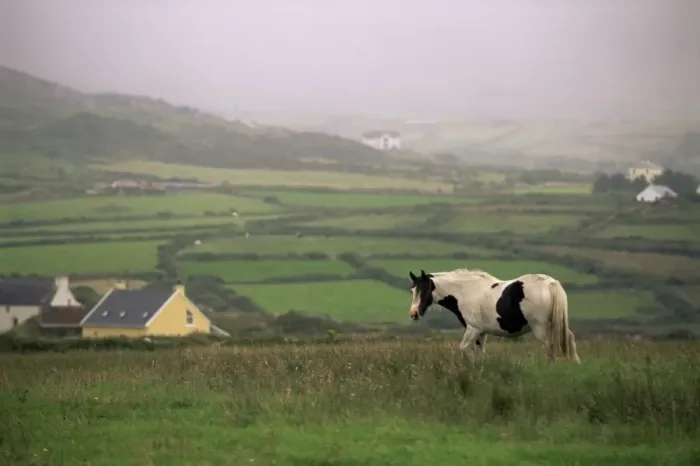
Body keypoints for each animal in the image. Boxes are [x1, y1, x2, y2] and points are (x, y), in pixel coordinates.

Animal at [408, 268, 581, 364]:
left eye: (425, 290)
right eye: (413, 290)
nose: (414, 314)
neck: (466, 291)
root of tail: (551, 283)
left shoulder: (473, 329)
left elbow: (463, 349)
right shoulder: (481, 333)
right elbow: (480, 353)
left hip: (541, 328)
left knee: (549, 347)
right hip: (557, 324)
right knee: (570, 339)